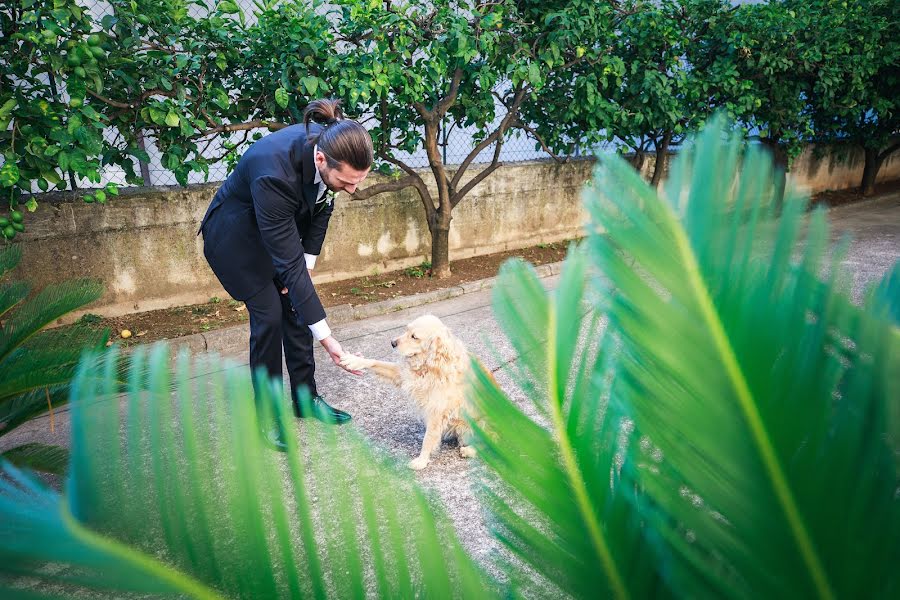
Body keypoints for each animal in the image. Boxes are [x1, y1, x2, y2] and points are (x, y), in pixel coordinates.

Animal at [342, 312, 486, 472]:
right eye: (406, 330)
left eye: (414, 337)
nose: (392, 343)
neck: (429, 366)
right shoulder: (402, 374)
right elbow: (376, 362)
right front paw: (355, 360)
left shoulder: (437, 410)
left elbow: (428, 438)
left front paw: (422, 460)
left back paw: (469, 450)